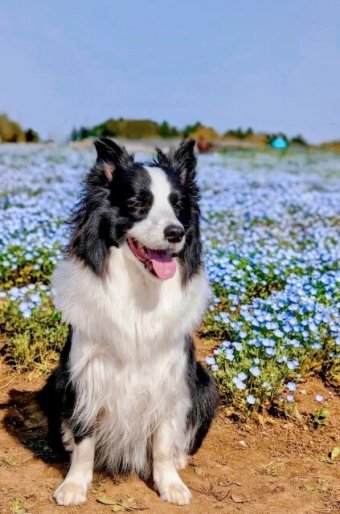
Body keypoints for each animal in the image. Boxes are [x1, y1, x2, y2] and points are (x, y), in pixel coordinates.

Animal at [37, 138, 218, 506]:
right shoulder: (87, 374)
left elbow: (162, 440)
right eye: (138, 204)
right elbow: (84, 440)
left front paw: (169, 483)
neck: (140, 291)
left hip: (205, 385)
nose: (176, 233)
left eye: (178, 207)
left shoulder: (170, 376)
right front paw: (75, 485)